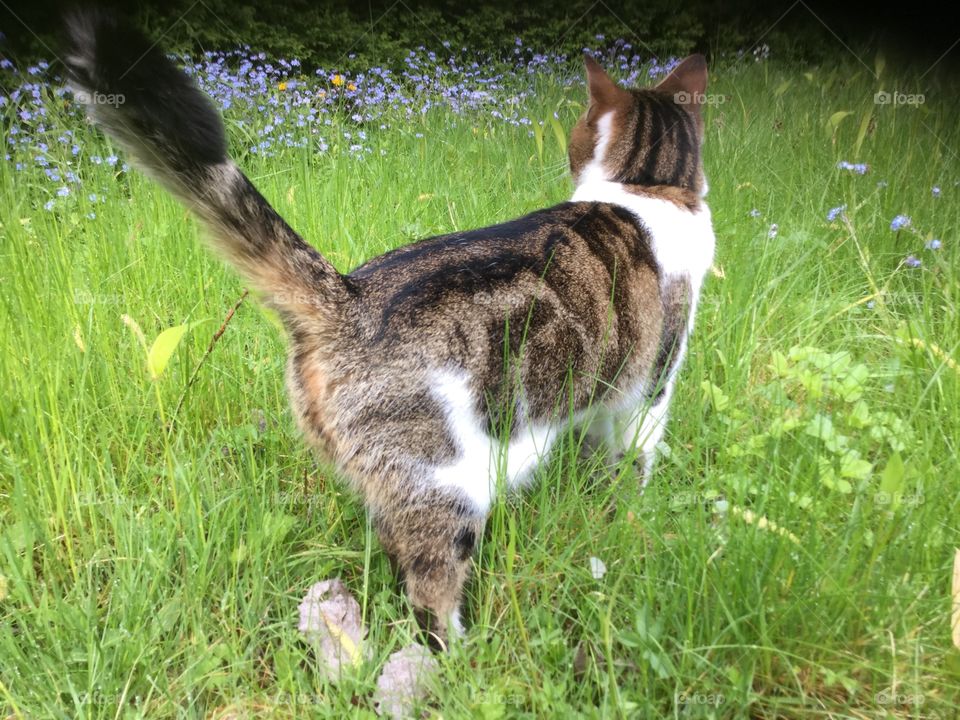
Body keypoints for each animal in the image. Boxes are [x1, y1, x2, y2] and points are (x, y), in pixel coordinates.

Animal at [63, 9, 712, 648]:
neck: (648, 185)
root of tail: (346, 298)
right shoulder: (653, 383)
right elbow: (636, 459)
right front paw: (631, 514)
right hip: (448, 484)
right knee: (429, 590)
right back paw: (463, 655)